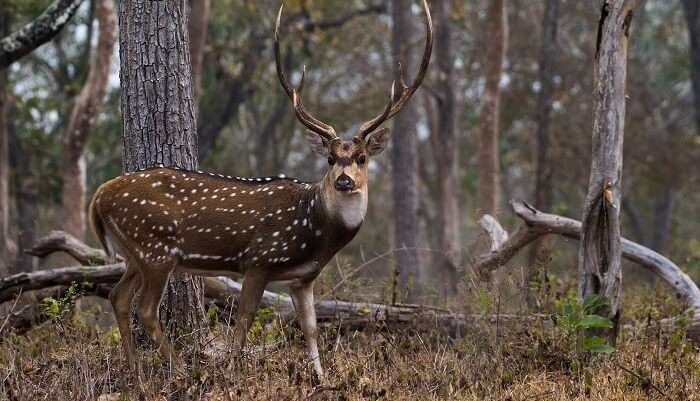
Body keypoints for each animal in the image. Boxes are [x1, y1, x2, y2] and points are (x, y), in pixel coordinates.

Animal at [89, 0, 432, 380]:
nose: (344, 180)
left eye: (361, 157)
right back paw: (177, 370)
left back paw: (135, 373)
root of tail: (99, 195)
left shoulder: (303, 278)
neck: (316, 232)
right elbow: (243, 320)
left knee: (118, 297)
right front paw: (232, 370)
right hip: (156, 249)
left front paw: (322, 378)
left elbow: (310, 327)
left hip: (136, 252)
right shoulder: (258, 259)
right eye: (330, 158)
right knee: (146, 309)